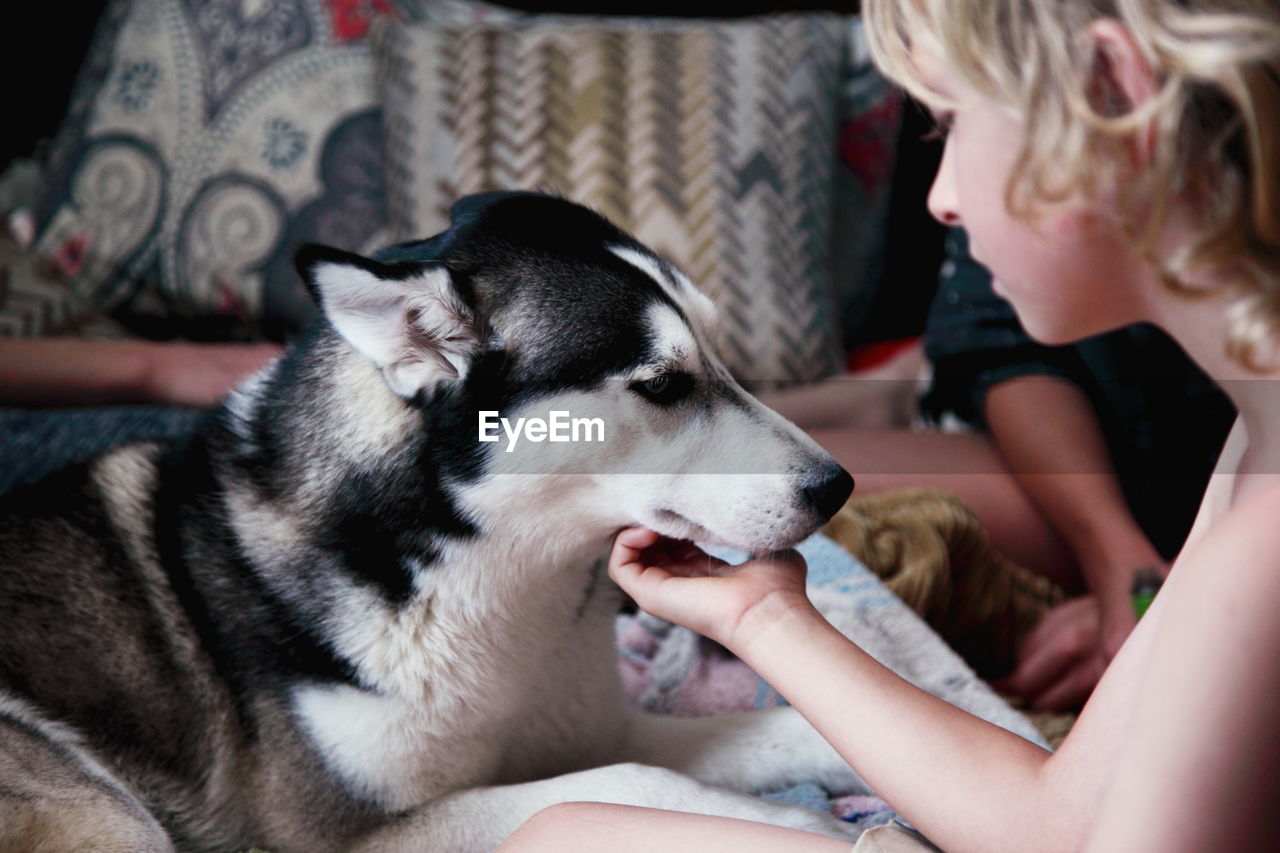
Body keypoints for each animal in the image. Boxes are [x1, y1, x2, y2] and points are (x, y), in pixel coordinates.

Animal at [5, 192, 860, 850]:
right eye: (661, 384)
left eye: (720, 350)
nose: (837, 487)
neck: (499, 574)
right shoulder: (347, 835)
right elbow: (623, 783)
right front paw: (793, 825)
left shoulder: (590, 728)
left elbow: (788, 726)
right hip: (109, 808)